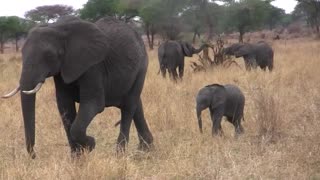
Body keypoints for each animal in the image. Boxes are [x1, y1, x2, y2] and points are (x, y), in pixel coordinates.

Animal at [1, 16, 154, 158]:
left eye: (49, 55)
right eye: (21, 53)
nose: (34, 156)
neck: (58, 27)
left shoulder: (93, 66)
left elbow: (93, 104)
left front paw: (90, 144)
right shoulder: (63, 69)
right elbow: (65, 107)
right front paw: (77, 158)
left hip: (142, 66)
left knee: (128, 107)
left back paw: (120, 155)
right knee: (136, 105)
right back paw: (145, 150)